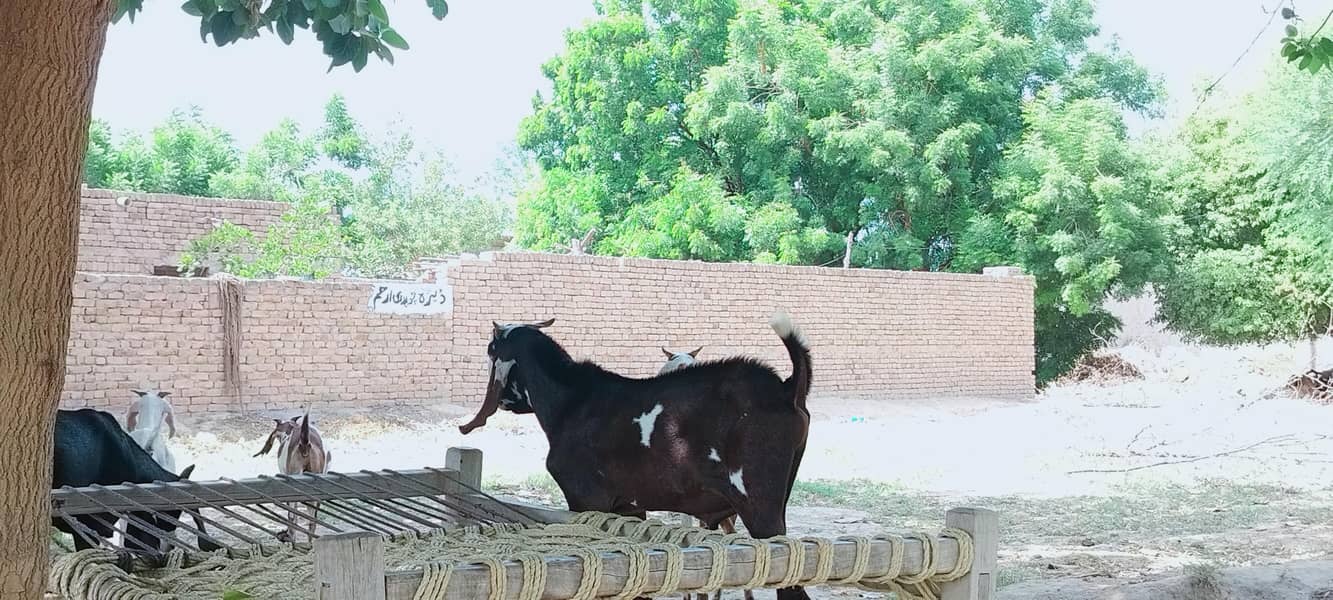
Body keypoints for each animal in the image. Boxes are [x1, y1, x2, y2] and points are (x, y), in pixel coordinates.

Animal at [461, 314, 813, 600]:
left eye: (491, 351)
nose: (504, 401)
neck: (572, 399)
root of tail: (786, 389)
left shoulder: (586, 501)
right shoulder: (628, 509)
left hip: (760, 506)